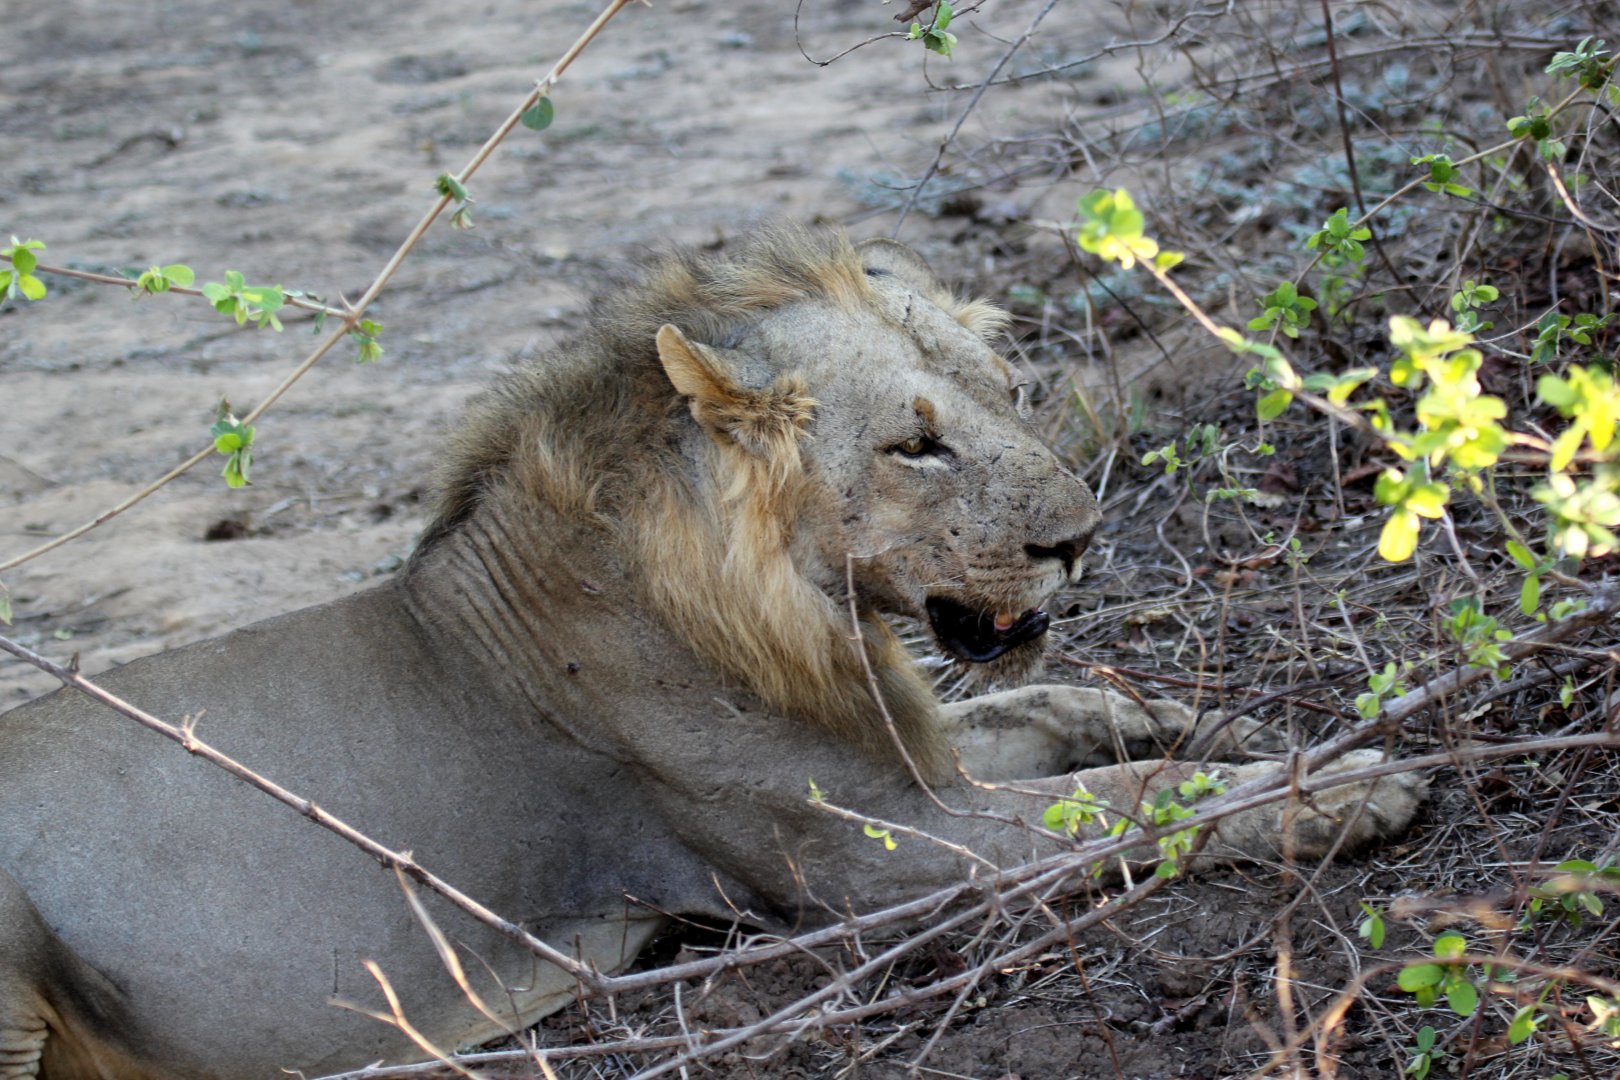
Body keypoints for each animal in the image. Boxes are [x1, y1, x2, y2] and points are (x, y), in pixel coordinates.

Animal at [0, 227, 1424, 1078]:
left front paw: (1228, 726)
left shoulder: (907, 758)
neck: (807, 613)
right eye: (915, 446)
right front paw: (1344, 787)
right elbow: (1125, 807)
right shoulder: (876, 858)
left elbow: (1074, 713)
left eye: (1013, 395)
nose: (1078, 540)